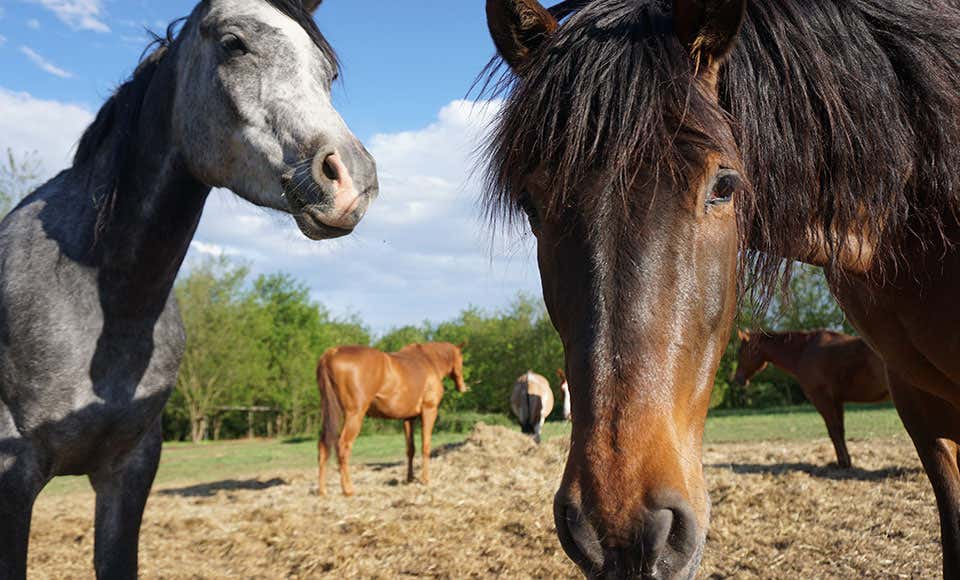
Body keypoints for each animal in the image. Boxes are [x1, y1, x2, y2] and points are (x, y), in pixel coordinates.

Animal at [316, 342, 466, 496]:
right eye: (461, 359)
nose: (463, 387)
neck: (428, 360)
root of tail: (333, 352)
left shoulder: (408, 418)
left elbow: (410, 449)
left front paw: (409, 478)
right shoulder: (429, 410)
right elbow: (426, 446)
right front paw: (425, 479)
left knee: (323, 445)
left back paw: (322, 490)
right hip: (354, 415)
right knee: (343, 446)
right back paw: (348, 489)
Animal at [733, 329, 889, 468]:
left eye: (741, 352)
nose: (738, 379)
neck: (803, 352)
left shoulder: (822, 400)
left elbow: (833, 431)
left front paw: (843, 463)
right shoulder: (837, 400)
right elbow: (840, 430)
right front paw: (846, 461)